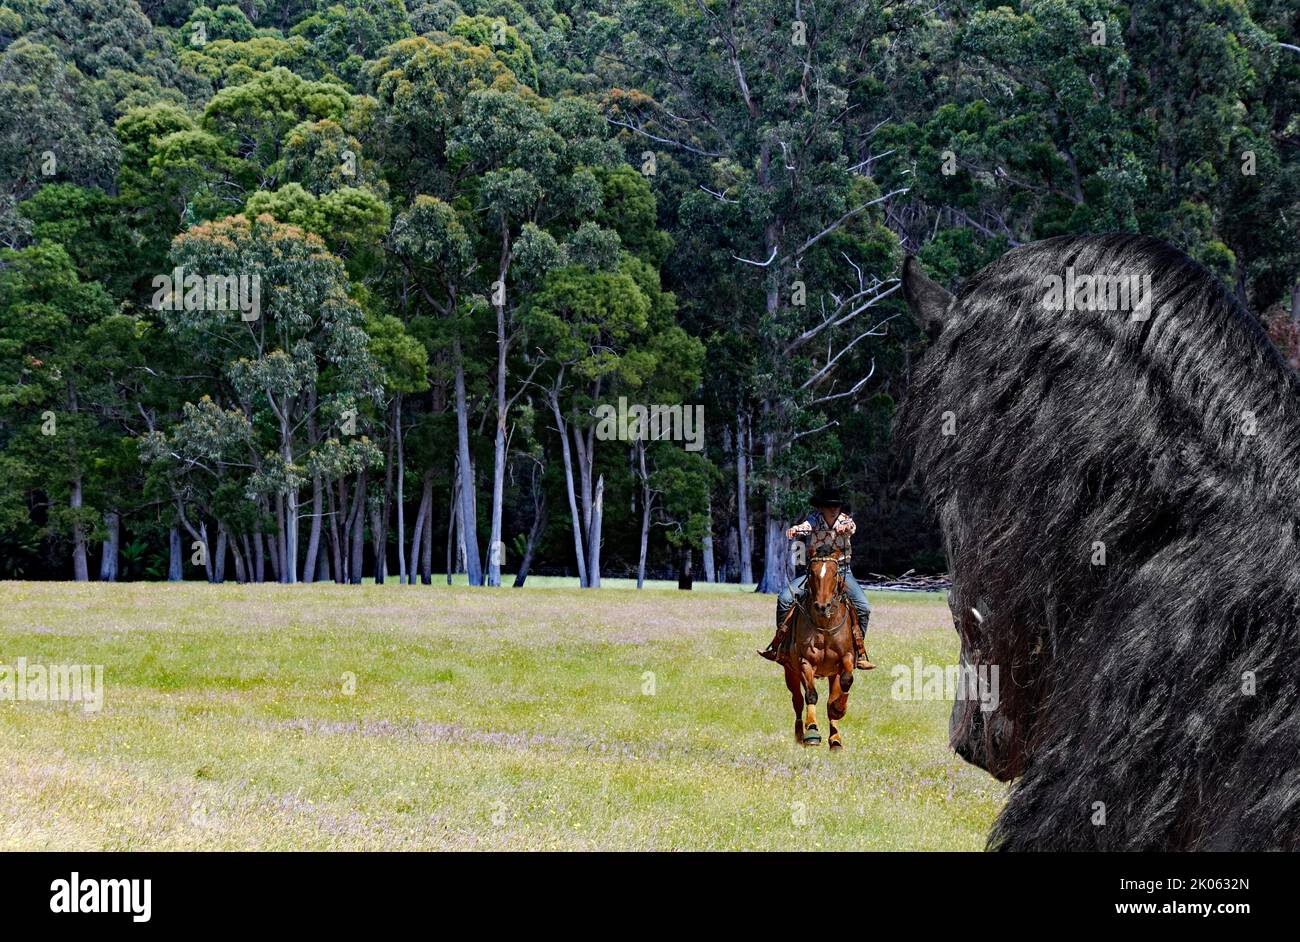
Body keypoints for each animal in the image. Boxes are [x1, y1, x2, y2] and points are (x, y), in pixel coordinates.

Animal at [774, 548, 857, 748]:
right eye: (811, 572)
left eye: (835, 573)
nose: (822, 606)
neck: (824, 626)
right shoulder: (805, 662)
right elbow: (811, 695)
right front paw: (811, 731)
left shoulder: (846, 658)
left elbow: (846, 681)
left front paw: (839, 709)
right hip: (790, 672)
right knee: (797, 700)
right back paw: (799, 734)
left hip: (831, 674)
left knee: (830, 698)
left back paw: (835, 739)